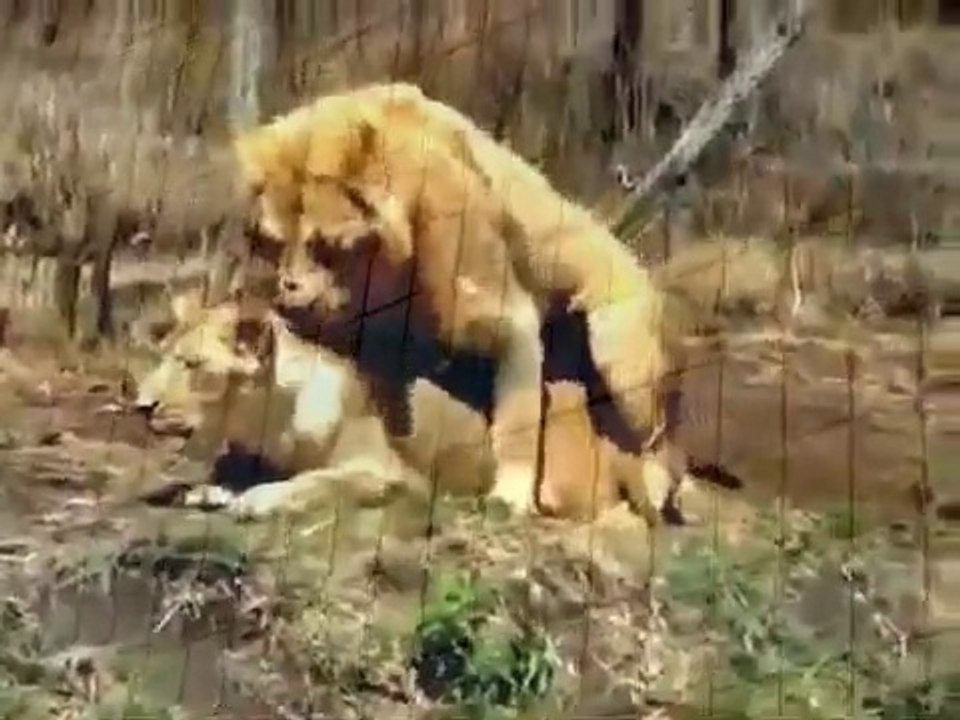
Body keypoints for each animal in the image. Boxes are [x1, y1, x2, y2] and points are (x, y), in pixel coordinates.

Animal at [231, 82, 684, 516]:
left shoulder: (506, 316)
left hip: (621, 362)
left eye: (326, 246)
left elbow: (517, 418)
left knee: (660, 440)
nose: (287, 291)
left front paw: (511, 495)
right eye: (271, 243)